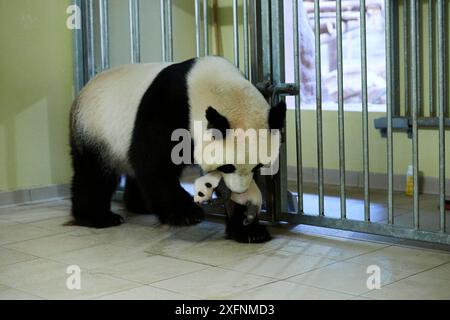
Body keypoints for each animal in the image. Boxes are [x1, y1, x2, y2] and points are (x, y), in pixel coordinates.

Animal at [70, 56, 284, 242]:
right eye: (227, 166)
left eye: (258, 166)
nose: (239, 190)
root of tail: (83, 91)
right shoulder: (167, 108)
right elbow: (153, 162)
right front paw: (188, 214)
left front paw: (249, 228)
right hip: (95, 129)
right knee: (94, 173)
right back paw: (99, 217)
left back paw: (141, 206)